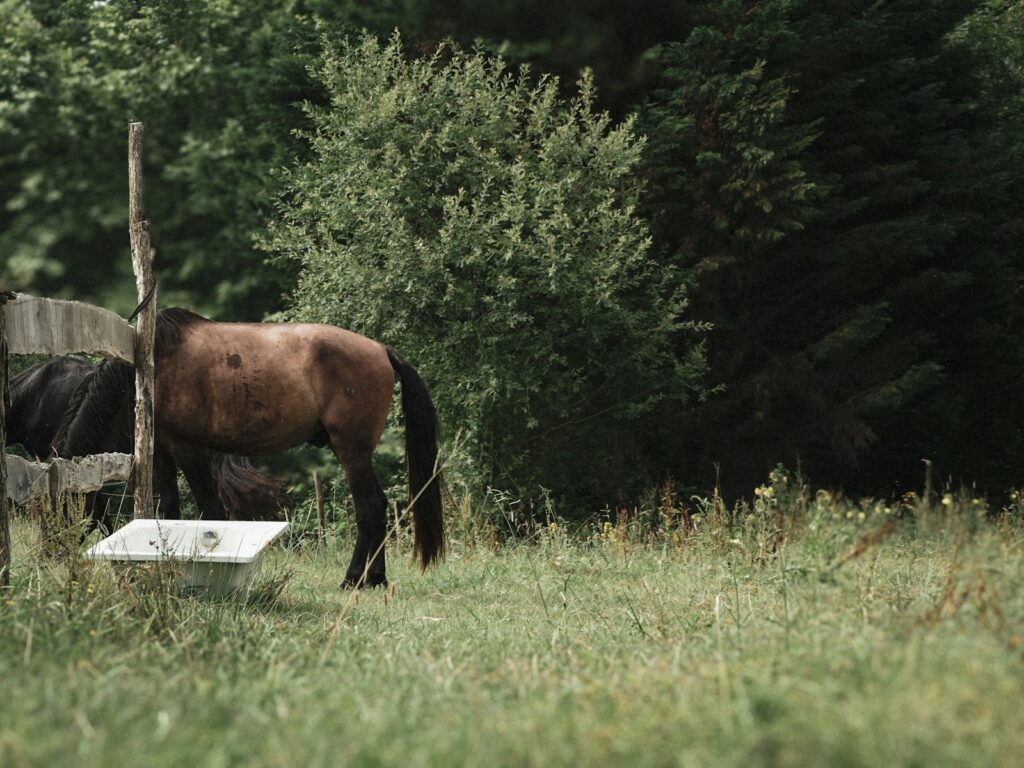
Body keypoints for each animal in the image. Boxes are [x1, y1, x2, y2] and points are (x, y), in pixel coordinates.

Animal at [54, 309, 445, 587]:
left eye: (61, 507)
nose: (53, 553)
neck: (151, 367)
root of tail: (380, 350)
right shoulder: (162, 454)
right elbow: (169, 511)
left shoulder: (189, 451)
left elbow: (210, 511)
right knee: (377, 506)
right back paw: (375, 578)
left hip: (353, 452)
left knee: (370, 508)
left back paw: (354, 579)